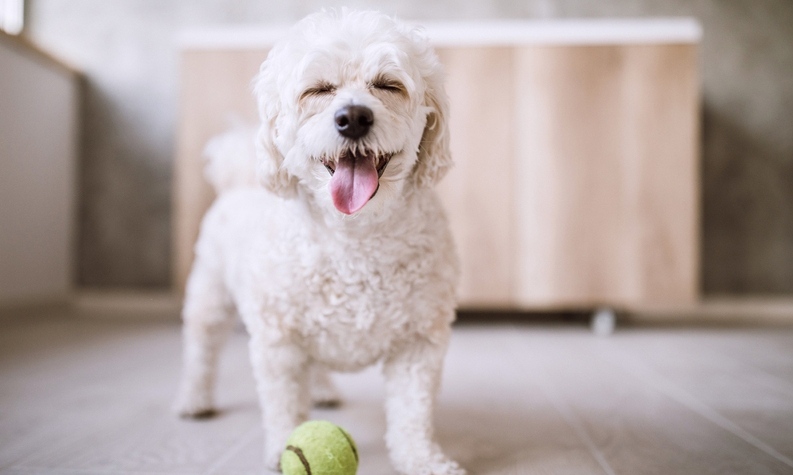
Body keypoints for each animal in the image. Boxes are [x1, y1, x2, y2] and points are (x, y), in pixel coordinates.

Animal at [172, 8, 458, 475]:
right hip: (209, 296)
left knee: (315, 366)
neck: (355, 239)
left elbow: (412, 414)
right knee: (201, 350)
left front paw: (423, 460)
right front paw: (281, 449)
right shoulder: (278, 341)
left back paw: (323, 389)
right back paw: (194, 399)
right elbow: (284, 403)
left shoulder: (418, 344)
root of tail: (236, 176)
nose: (353, 117)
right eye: (319, 90)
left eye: (387, 85)